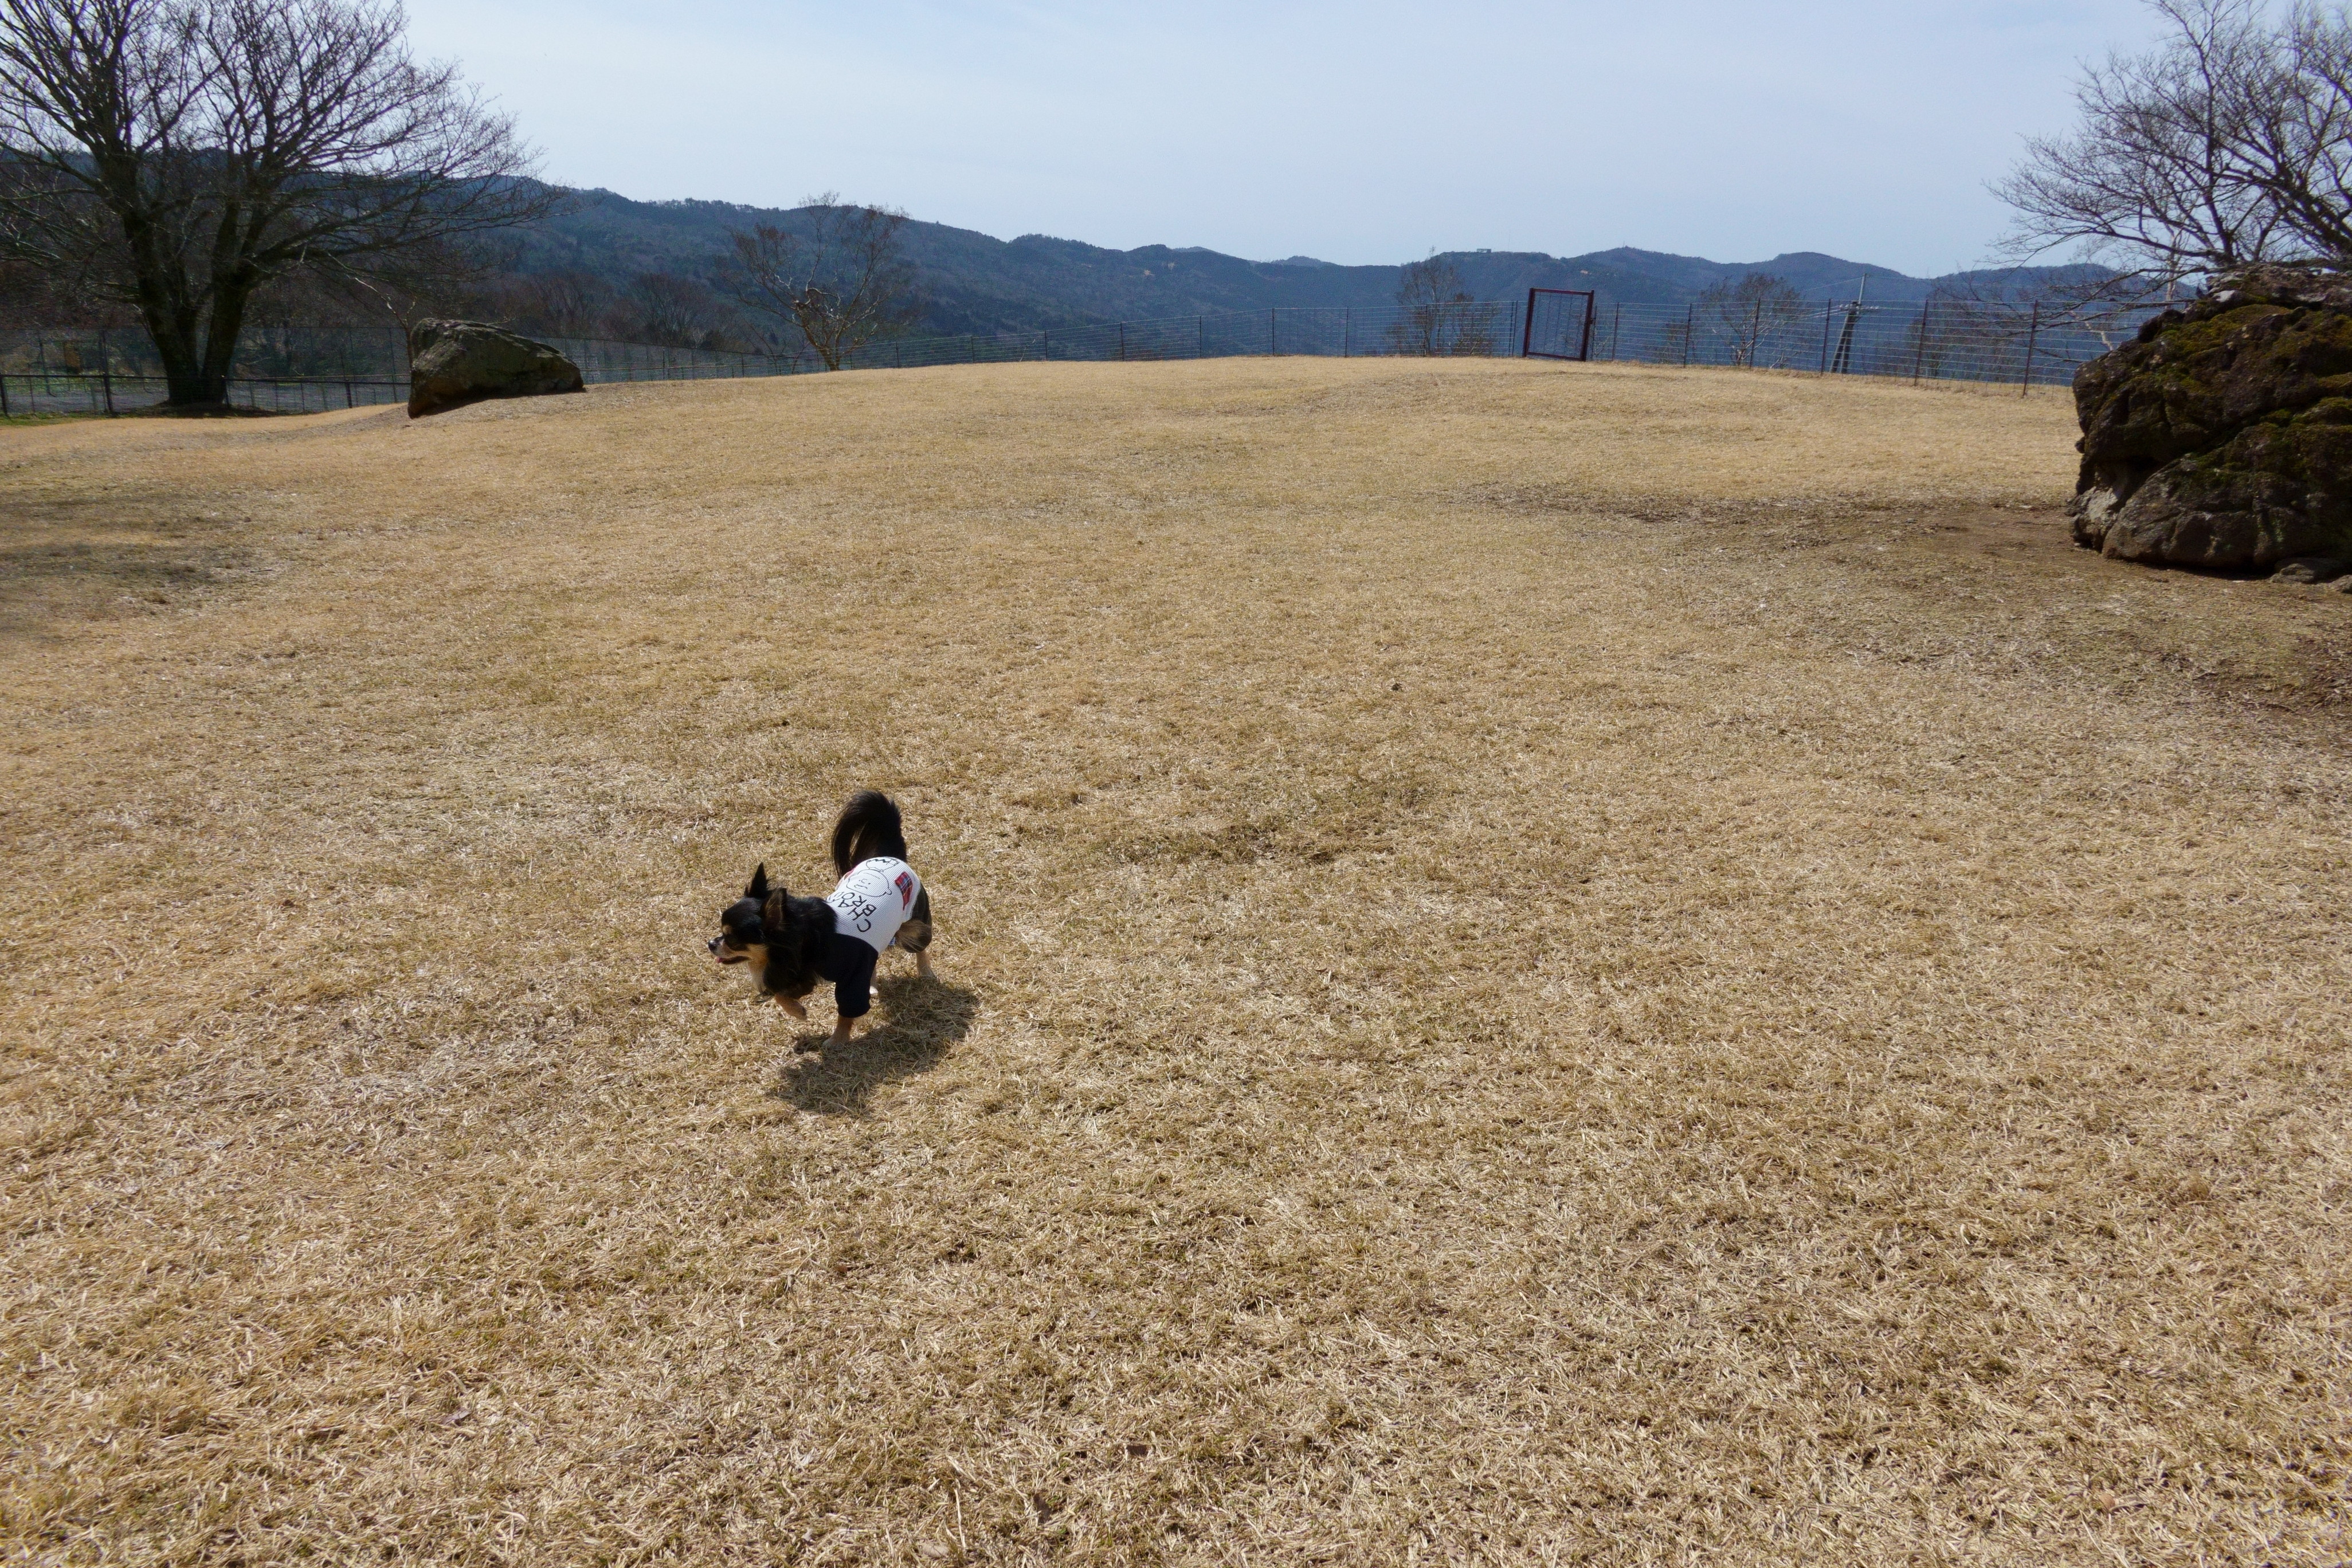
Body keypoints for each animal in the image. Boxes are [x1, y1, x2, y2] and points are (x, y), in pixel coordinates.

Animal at [705, 790, 936, 1048]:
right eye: (721, 932)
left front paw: (837, 1041)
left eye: (732, 938)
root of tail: (889, 856)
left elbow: (846, 1011)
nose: (711, 944)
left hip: (914, 922)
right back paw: (873, 986)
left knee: (920, 945)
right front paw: (798, 1012)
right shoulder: (802, 974)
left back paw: (926, 972)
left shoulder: (850, 978)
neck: (806, 940)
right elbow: (780, 995)